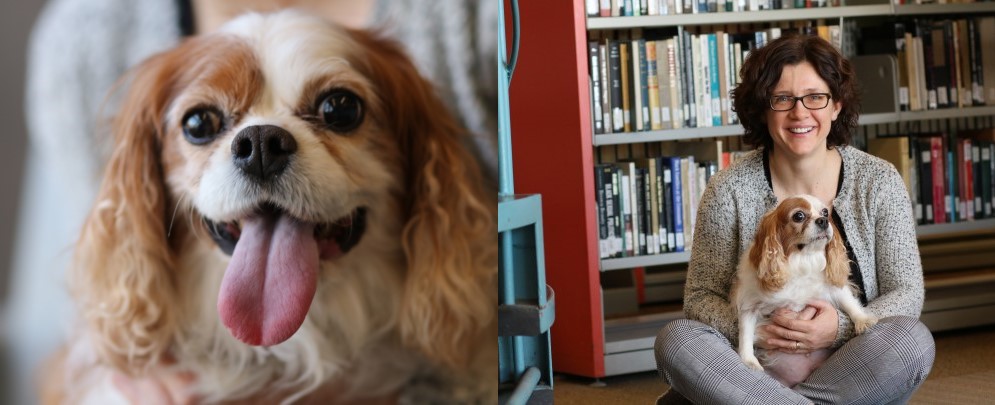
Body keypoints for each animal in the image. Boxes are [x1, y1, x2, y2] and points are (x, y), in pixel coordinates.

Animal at [732, 194, 880, 386]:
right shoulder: (750, 304)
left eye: (825, 212)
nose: (823, 220)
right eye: (799, 216)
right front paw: (748, 360)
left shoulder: (834, 288)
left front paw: (863, 320)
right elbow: (746, 333)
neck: (804, 259)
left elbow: (849, 303)